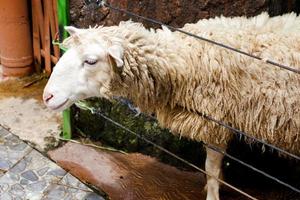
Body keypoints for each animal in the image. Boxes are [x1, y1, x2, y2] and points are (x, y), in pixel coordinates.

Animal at [43, 12, 300, 200]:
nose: (47, 96)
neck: (185, 60)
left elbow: (211, 169)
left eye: (91, 61)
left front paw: (212, 194)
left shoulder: (215, 121)